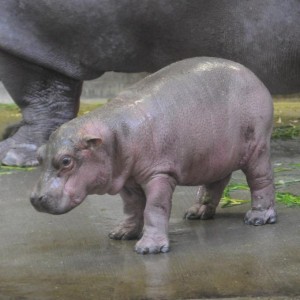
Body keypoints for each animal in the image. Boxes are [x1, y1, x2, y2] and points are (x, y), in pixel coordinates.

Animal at [30, 56, 276, 253]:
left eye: (66, 161)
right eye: (39, 155)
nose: (34, 198)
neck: (113, 132)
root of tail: (251, 74)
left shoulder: (159, 174)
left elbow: (154, 208)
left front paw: (149, 248)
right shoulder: (127, 179)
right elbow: (132, 208)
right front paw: (121, 234)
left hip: (257, 147)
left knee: (261, 180)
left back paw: (258, 218)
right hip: (215, 156)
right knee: (215, 183)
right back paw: (196, 213)